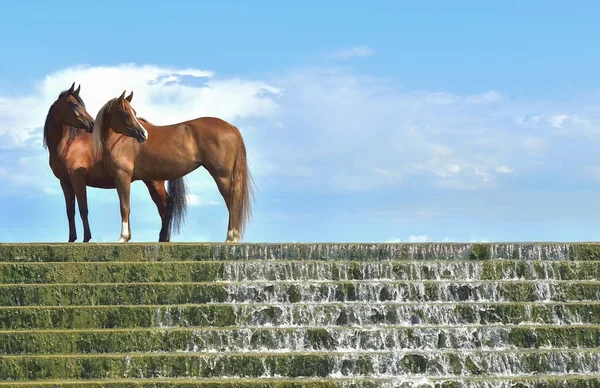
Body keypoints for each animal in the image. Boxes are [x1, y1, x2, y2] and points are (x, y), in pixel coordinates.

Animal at [44, 83, 188, 242]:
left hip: (155, 182)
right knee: (163, 208)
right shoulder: (65, 182)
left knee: (166, 206)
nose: (92, 124)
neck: (68, 144)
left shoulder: (78, 179)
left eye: (81, 104)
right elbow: (70, 211)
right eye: (75, 104)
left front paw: (86, 238)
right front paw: (71, 239)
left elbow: (83, 209)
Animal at [91, 90, 253, 242]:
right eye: (125, 113)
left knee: (232, 201)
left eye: (133, 112)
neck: (120, 139)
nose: (143, 134)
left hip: (222, 176)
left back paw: (231, 237)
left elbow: (124, 206)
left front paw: (123, 237)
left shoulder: (122, 176)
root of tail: (231, 127)